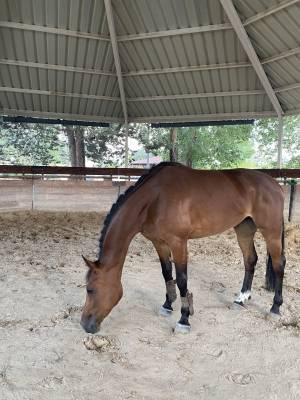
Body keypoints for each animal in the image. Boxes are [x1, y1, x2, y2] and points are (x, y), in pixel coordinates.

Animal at [81, 162, 286, 334]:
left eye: (90, 289)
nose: (85, 324)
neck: (155, 199)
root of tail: (275, 185)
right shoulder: (159, 243)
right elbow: (166, 274)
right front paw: (167, 305)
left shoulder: (178, 242)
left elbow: (181, 280)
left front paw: (184, 319)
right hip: (244, 229)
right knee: (250, 260)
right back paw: (241, 299)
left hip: (271, 231)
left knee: (279, 264)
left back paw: (275, 308)